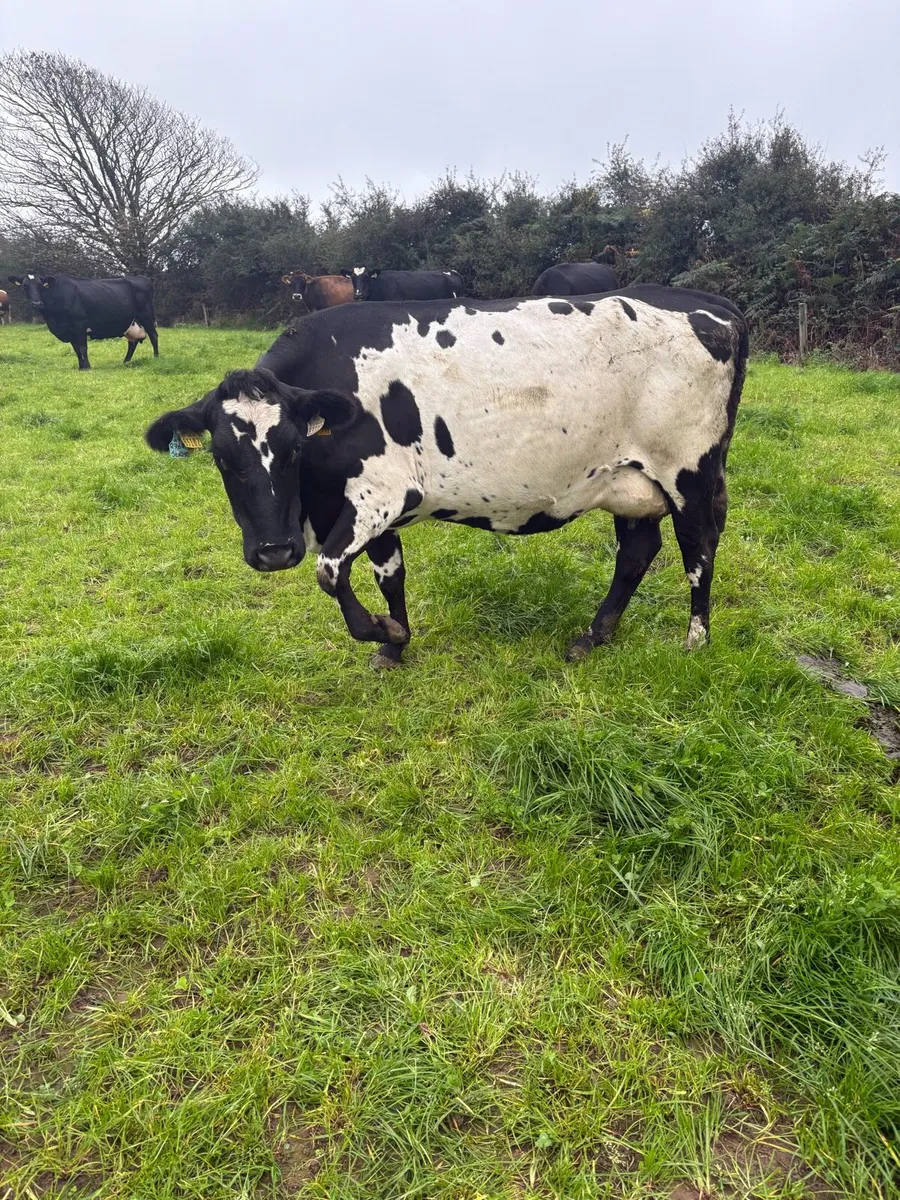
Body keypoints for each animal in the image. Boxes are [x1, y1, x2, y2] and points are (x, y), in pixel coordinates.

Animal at [6, 272, 158, 369]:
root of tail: (144, 278)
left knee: (153, 336)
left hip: (146, 315)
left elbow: (82, 347)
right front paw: (81, 366)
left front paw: (87, 367)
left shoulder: (80, 324)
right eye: (25, 286)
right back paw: (125, 362)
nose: (37, 303)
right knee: (132, 342)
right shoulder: (70, 330)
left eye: (41, 285)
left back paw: (156, 358)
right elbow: (76, 349)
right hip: (132, 322)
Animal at [145, 285, 748, 669]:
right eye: (221, 457)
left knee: (698, 548)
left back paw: (696, 640)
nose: (273, 552)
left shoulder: (381, 493)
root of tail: (711, 304)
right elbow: (389, 575)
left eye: (294, 447)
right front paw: (396, 644)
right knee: (637, 551)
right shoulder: (370, 509)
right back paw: (593, 635)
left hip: (690, 472)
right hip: (627, 482)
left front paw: (382, 632)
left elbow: (329, 570)